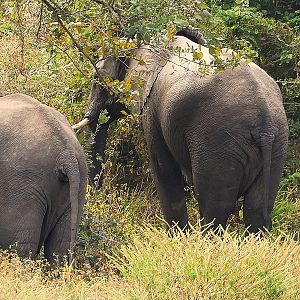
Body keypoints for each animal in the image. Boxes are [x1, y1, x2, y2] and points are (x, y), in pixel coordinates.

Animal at [73, 29, 288, 233]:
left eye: (97, 78)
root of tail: (264, 123)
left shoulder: (153, 106)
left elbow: (163, 168)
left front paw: (176, 237)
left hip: (219, 143)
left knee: (214, 207)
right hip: (277, 143)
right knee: (257, 209)